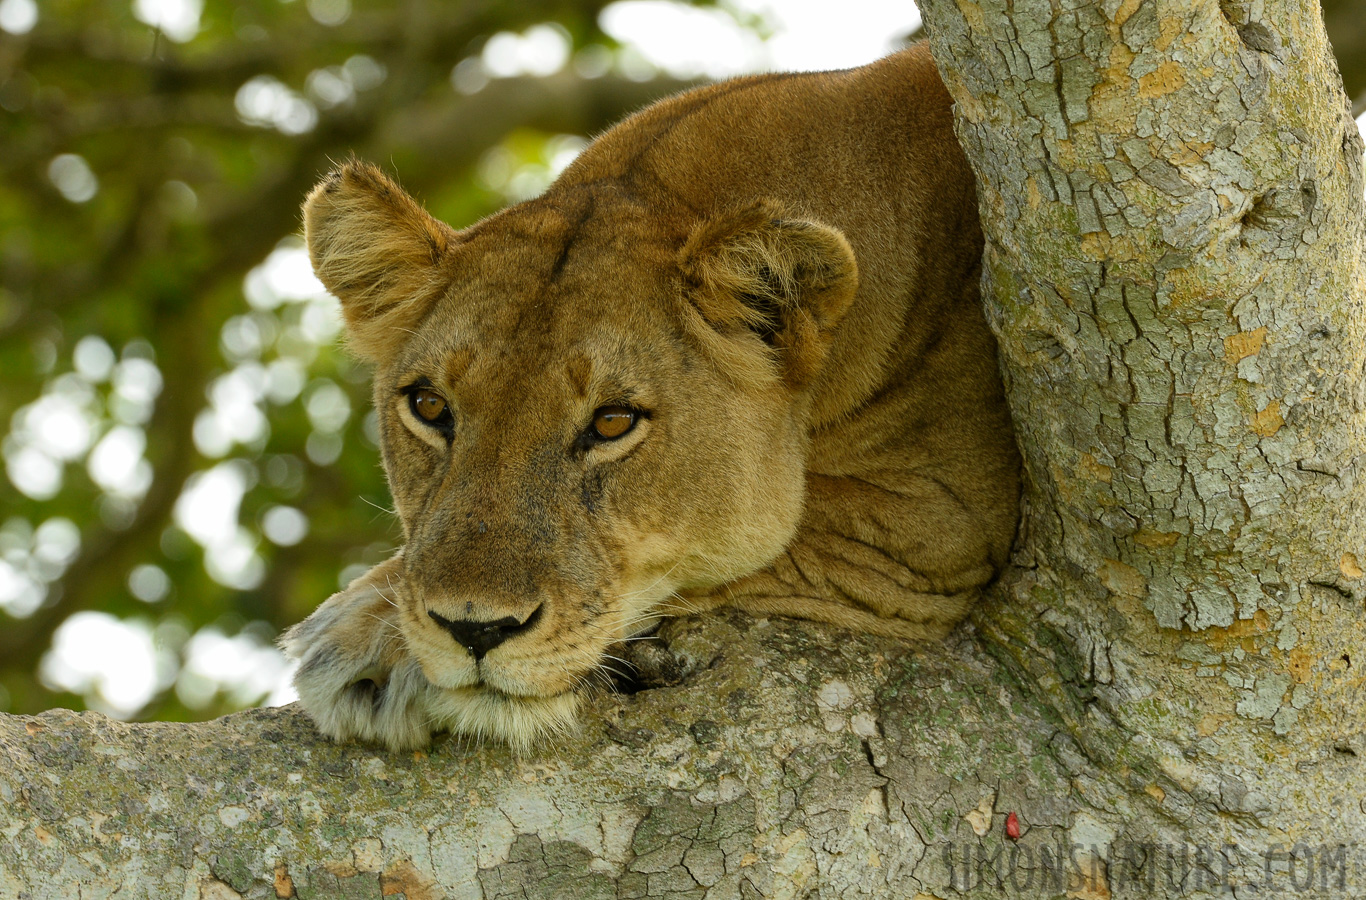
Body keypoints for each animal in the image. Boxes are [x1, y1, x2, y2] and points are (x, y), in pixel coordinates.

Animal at [280, 47, 1016, 753]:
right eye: (430, 408)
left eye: (613, 422)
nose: (475, 631)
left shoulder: (939, 527)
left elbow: (764, 545)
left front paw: (377, 643)